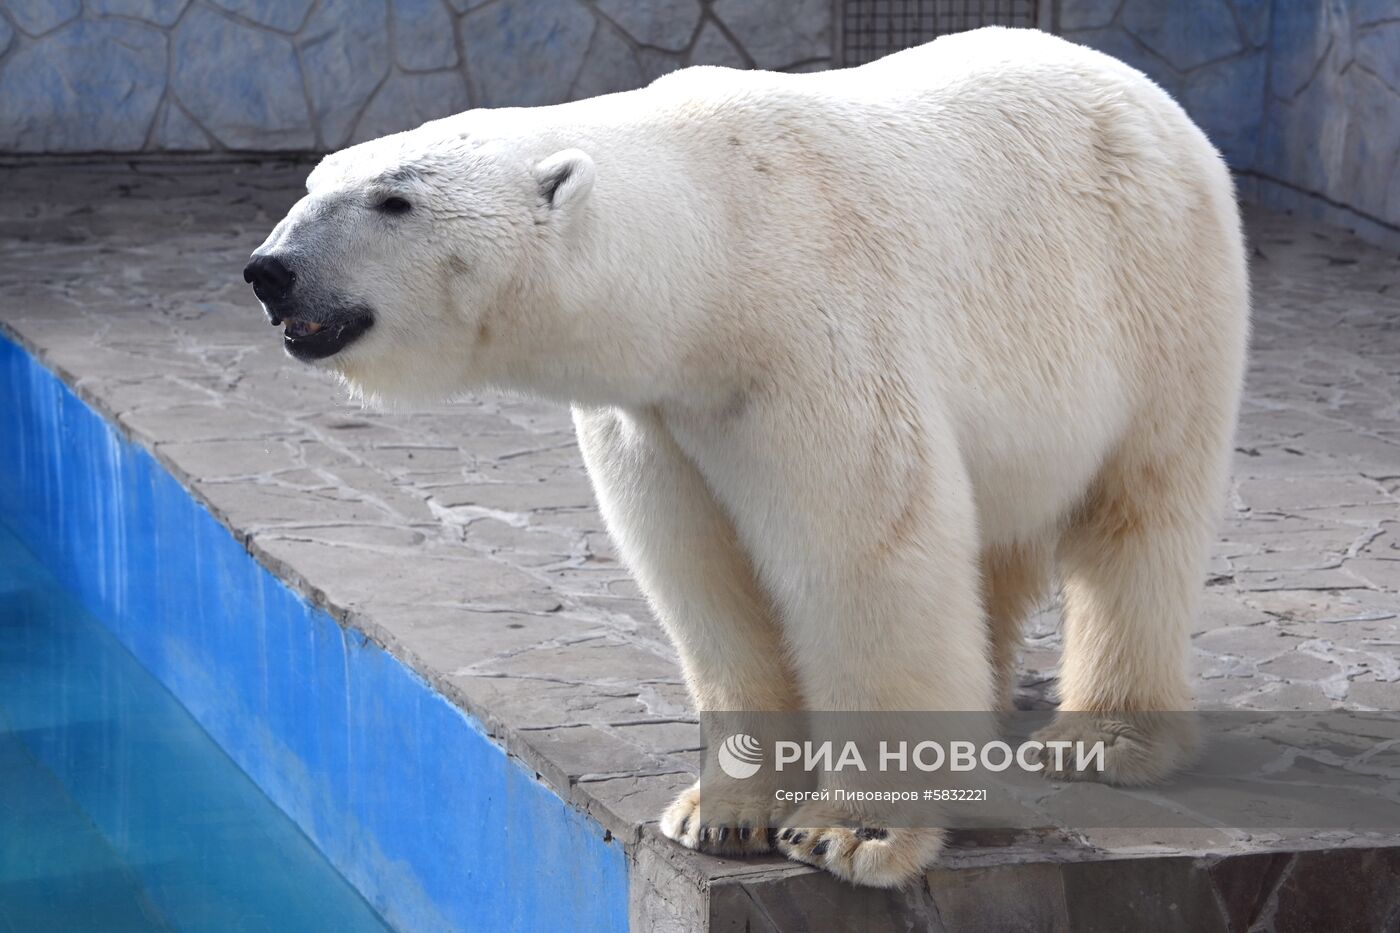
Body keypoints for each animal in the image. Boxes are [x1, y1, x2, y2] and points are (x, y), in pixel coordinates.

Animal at [243, 29, 1248, 885]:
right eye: (316, 179)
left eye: (393, 200)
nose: (269, 270)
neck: (715, 252)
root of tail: (1147, 92)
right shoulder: (660, 413)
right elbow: (704, 577)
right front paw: (720, 813)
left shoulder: (815, 344)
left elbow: (861, 557)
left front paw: (853, 830)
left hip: (1160, 302)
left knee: (1139, 518)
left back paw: (1104, 740)